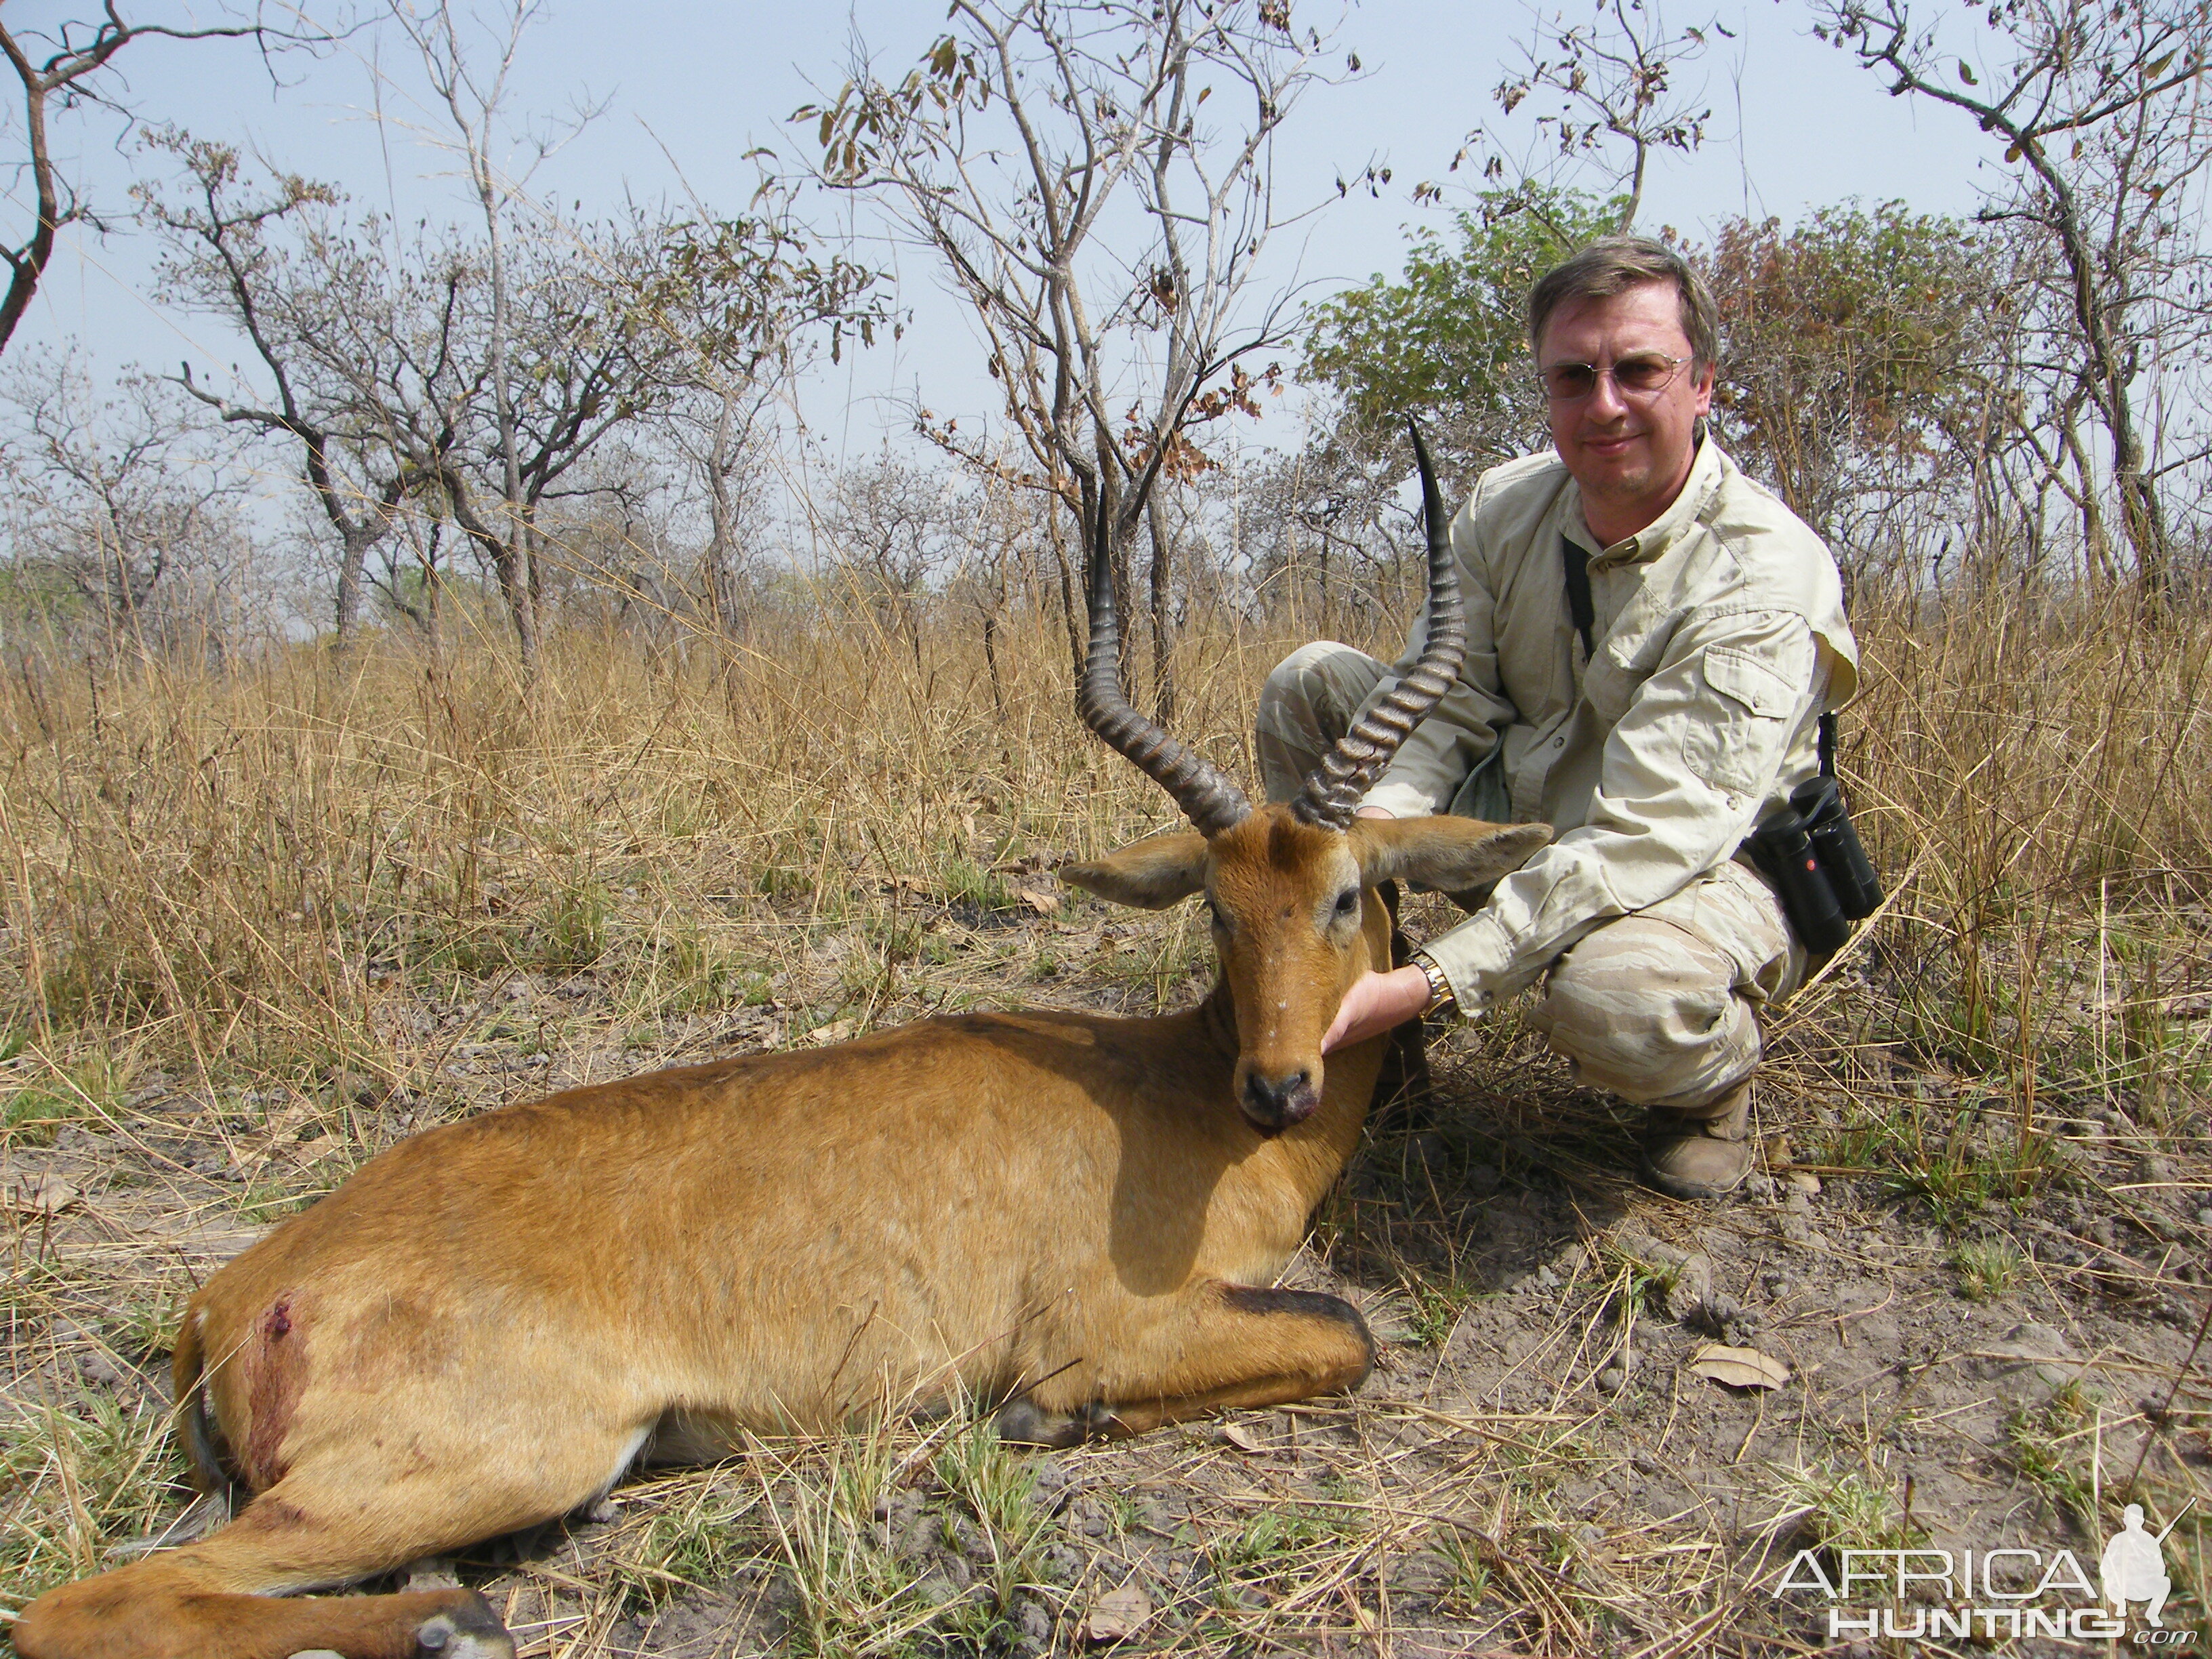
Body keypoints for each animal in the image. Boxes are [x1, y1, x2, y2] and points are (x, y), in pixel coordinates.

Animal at [17, 429, 1548, 1659]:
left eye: (1344, 892)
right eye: (1219, 910)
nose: (1278, 1085)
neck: (1172, 1093)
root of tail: (236, 1287)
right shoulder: (1102, 1327)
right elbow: (1344, 1333)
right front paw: (1052, 1425)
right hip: (499, 1460)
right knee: (81, 1602)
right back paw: (452, 1622)